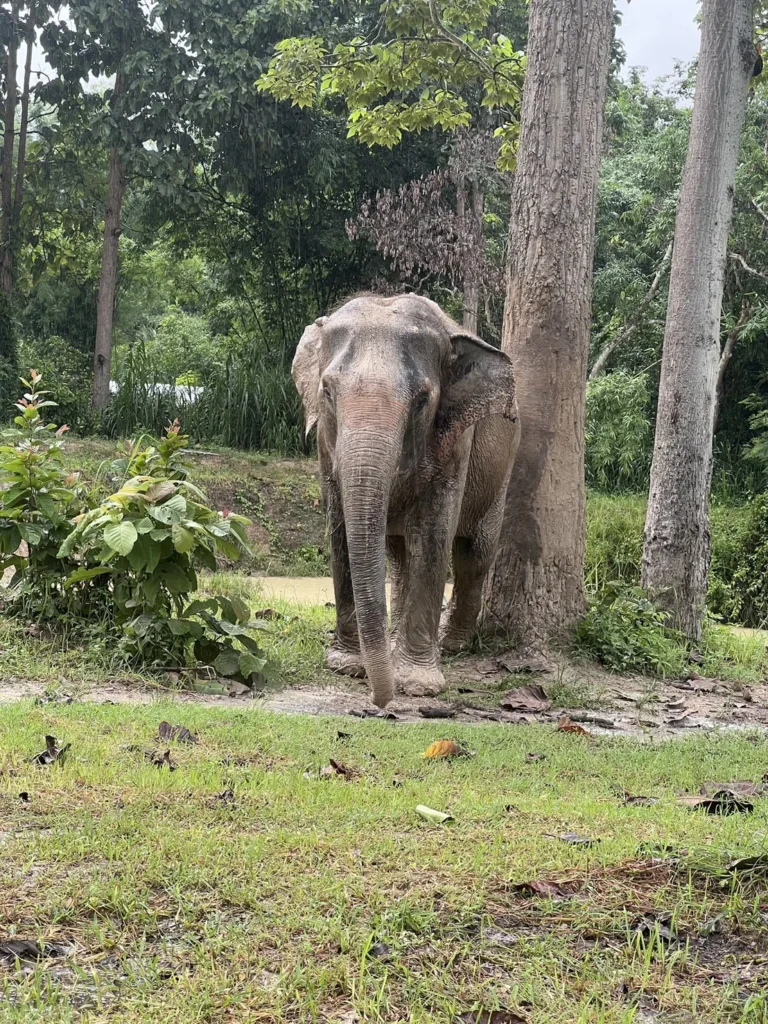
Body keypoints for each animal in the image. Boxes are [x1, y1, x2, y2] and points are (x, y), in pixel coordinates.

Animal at [292, 292, 520, 708]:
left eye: (422, 401)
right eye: (327, 391)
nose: (381, 701)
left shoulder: (455, 441)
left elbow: (432, 539)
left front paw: (417, 683)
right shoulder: (324, 447)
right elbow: (339, 527)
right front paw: (347, 666)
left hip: (501, 474)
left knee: (473, 554)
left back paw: (453, 644)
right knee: (399, 556)